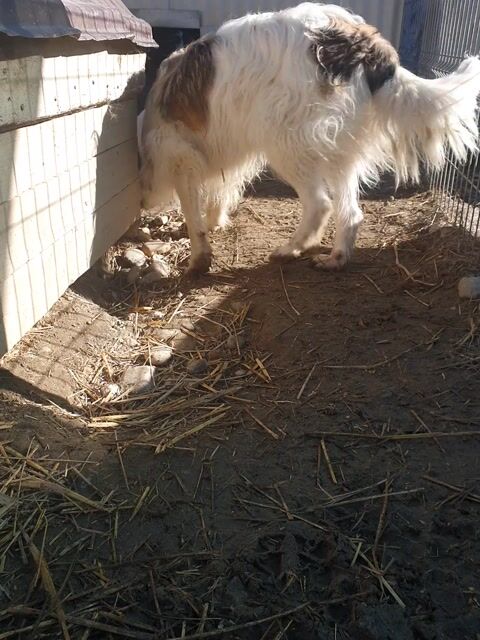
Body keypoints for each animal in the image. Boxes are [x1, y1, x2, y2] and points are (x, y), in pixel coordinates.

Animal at [139, 2, 480, 274]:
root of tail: (360, 40)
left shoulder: (179, 157)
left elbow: (192, 213)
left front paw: (199, 258)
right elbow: (218, 192)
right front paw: (215, 221)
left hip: (286, 143)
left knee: (320, 204)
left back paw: (290, 249)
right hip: (338, 150)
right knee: (351, 213)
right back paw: (336, 258)